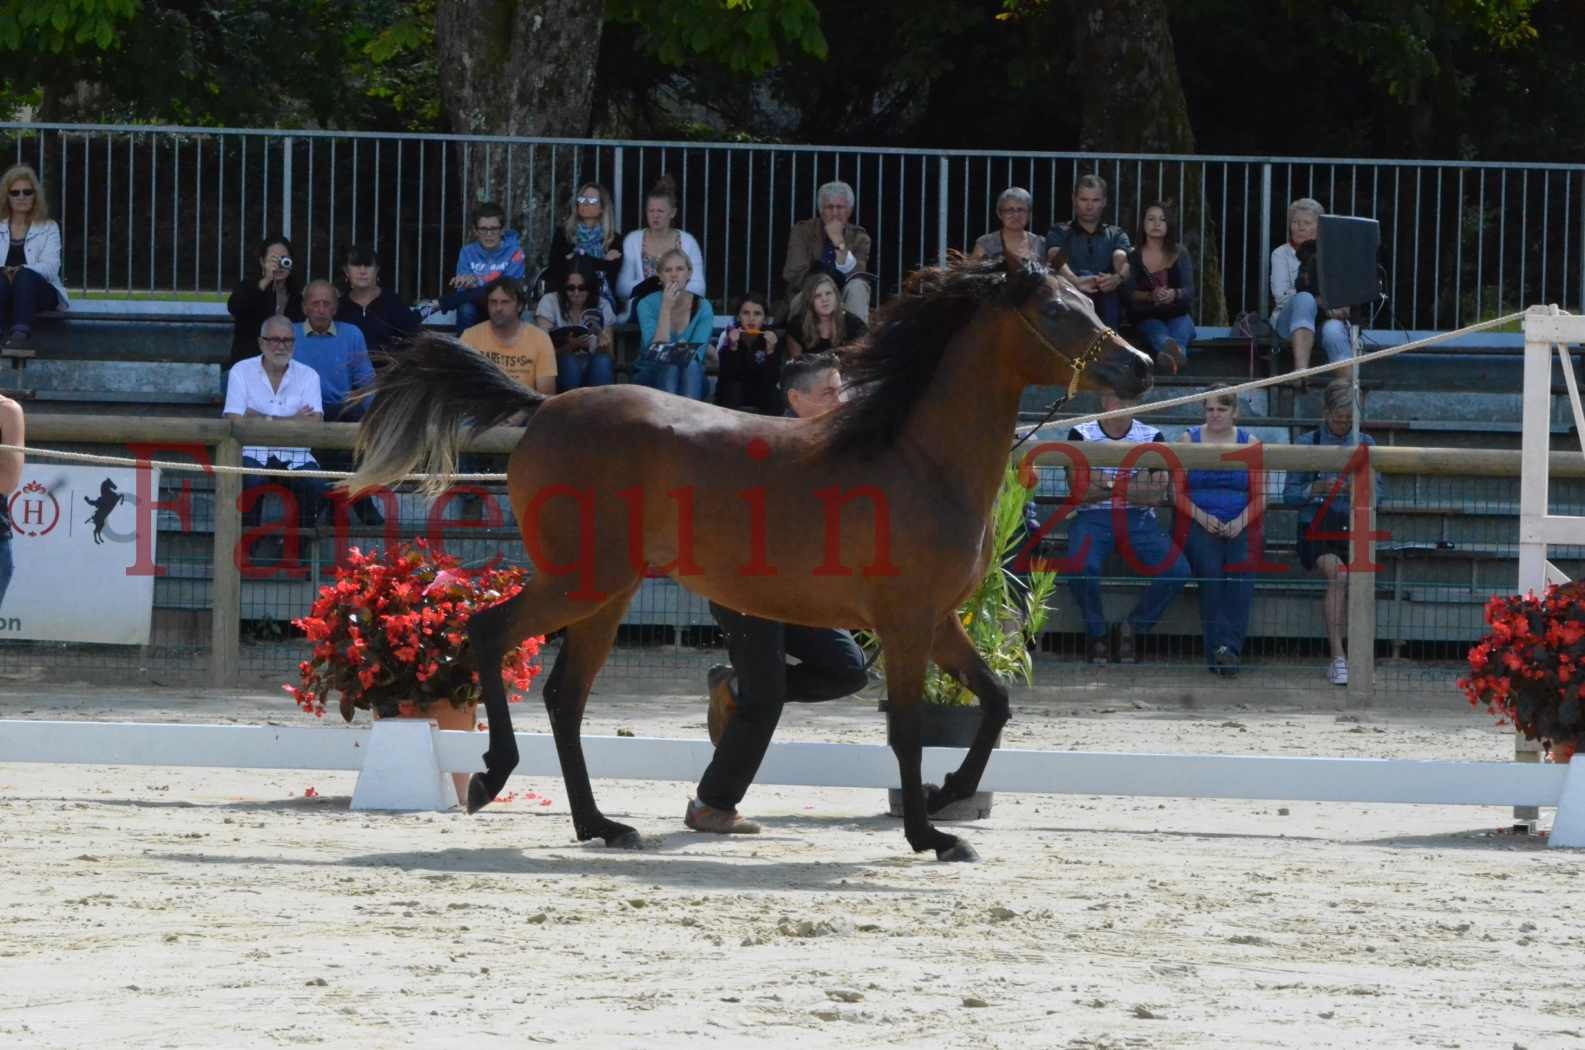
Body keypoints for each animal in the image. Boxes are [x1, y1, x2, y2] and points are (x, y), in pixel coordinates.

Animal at [350, 261, 1153, 862]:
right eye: (1057, 312)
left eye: (1089, 302)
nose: (1141, 367)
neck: (920, 460)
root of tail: (542, 409)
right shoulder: (904, 624)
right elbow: (907, 730)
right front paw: (931, 833)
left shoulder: (937, 621)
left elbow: (993, 703)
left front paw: (950, 794)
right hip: (580, 582)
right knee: (489, 635)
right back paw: (492, 779)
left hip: (607, 595)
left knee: (565, 698)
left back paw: (603, 826)